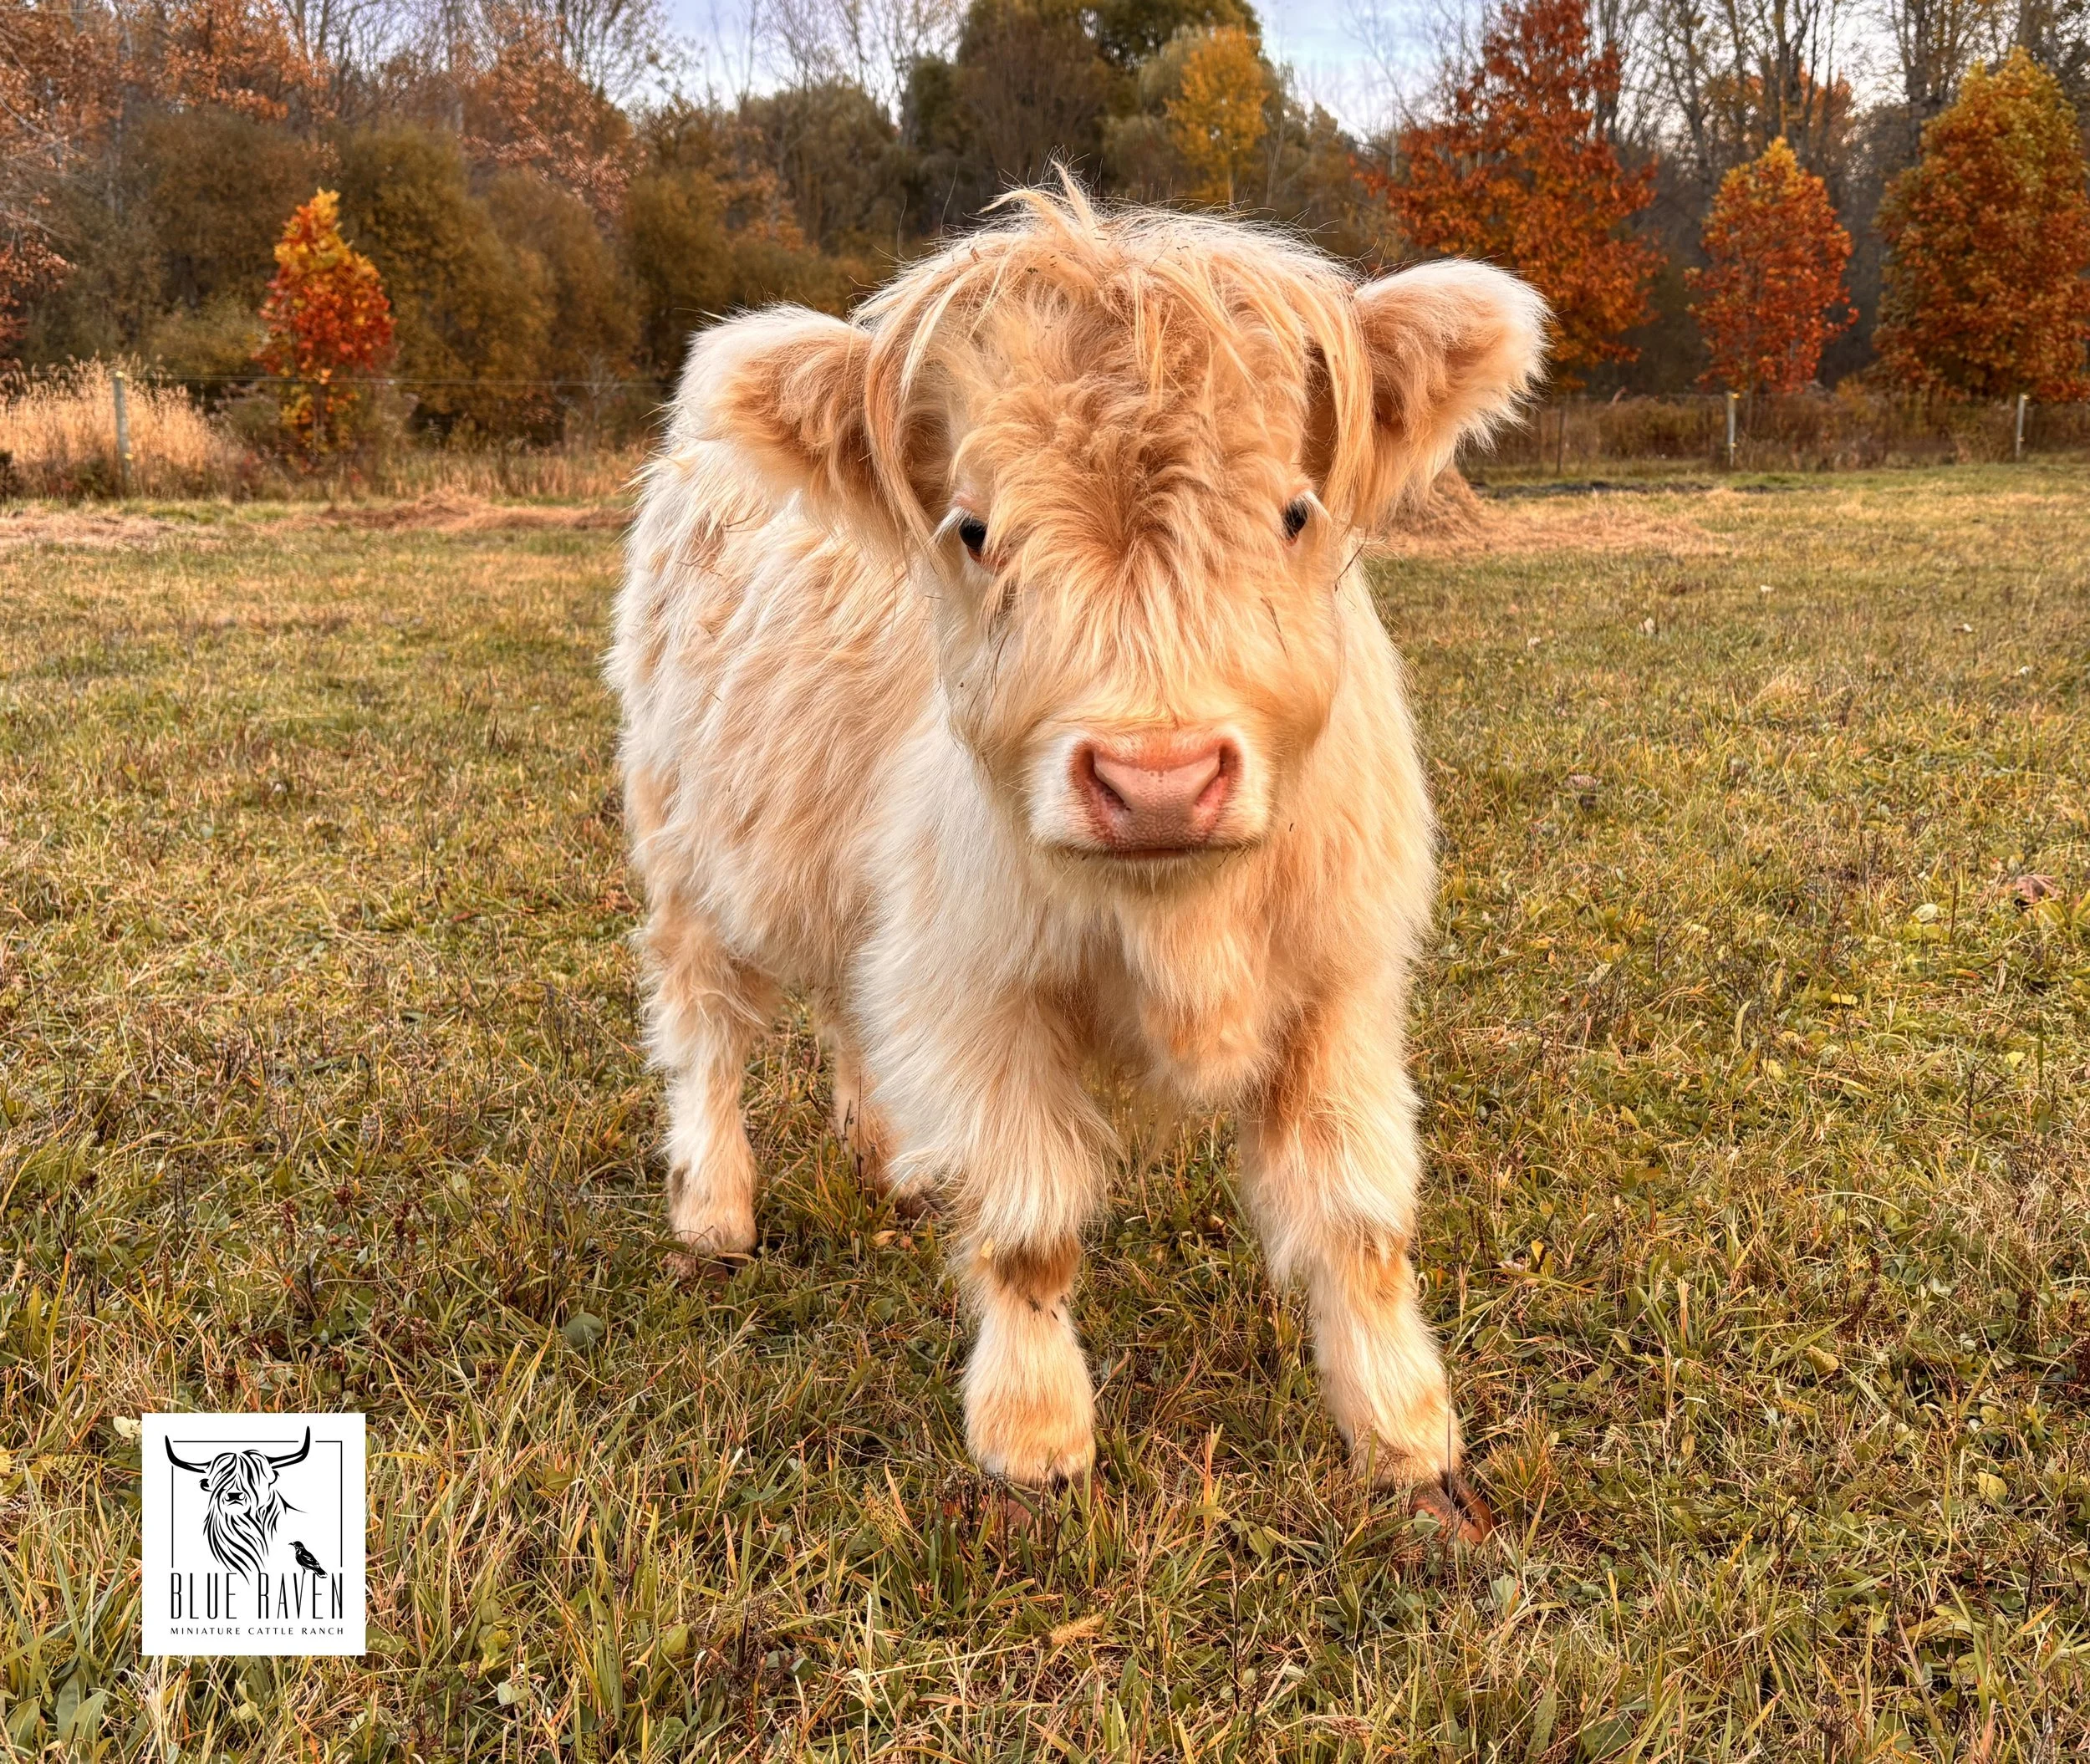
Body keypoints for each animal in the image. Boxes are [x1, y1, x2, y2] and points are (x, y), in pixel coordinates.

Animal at [610, 185, 1546, 1535]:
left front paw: (1404, 1430)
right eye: (974, 529)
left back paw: (889, 1155)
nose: (1158, 779)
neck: (1176, 919)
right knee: (703, 1025)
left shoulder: (1339, 978)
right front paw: (1034, 1434)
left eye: (1293, 511)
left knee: (846, 998)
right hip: (683, 839)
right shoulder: (981, 985)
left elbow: (1358, 1215)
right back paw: (715, 1206)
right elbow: (1028, 1230)